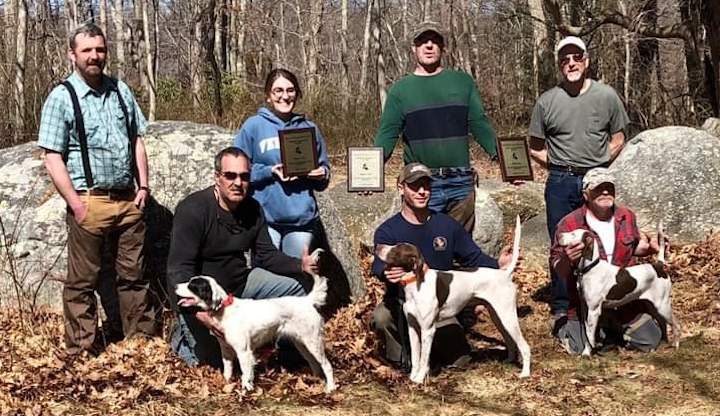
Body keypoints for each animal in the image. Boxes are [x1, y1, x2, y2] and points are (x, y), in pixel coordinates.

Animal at [174, 262, 334, 392]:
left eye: (192, 285)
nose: (175, 286)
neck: (224, 309)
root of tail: (307, 300)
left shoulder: (244, 352)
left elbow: (246, 373)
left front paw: (246, 389)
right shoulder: (226, 349)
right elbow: (227, 370)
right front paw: (226, 384)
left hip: (313, 342)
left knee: (327, 365)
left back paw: (330, 387)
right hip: (302, 344)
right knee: (314, 363)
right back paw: (316, 380)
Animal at [376, 218, 528, 384]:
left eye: (397, 250)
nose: (377, 246)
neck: (415, 284)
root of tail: (505, 274)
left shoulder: (427, 330)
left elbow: (423, 359)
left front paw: (420, 378)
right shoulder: (412, 327)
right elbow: (416, 358)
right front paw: (413, 377)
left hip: (507, 317)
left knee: (525, 346)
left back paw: (525, 373)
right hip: (498, 317)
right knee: (510, 341)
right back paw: (509, 361)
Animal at [556, 223, 680, 356]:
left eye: (573, 234)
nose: (558, 235)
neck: (590, 268)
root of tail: (658, 266)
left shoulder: (594, 310)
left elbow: (589, 334)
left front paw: (587, 353)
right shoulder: (585, 308)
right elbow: (587, 334)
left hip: (663, 306)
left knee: (676, 325)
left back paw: (676, 345)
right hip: (653, 307)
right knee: (663, 323)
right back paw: (662, 344)